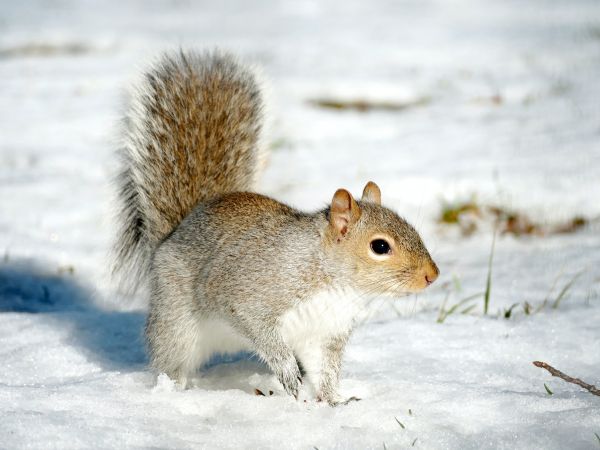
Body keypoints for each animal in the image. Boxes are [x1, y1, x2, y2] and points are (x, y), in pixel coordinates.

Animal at [113, 48, 440, 404]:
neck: (333, 280)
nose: (432, 275)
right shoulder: (250, 297)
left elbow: (326, 371)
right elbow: (262, 333)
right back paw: (174, 392)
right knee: (172, 361)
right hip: (176, 325)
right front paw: (288, 376)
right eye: (380, 246)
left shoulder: (324, 332)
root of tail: (173, 235)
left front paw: (333, 402)